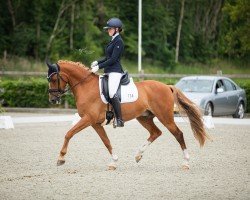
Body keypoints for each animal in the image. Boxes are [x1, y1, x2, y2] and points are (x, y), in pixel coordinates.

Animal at [46, 60, 209, 170]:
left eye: (54, 79)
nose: (52, 100)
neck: (85, 86)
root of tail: (167, 86)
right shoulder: (95, 123)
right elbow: (106, 142)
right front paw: (114, 162)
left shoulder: (88, 119)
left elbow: (69, 133)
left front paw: (61, 158)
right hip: (144, 117)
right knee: (156, 132)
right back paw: (138, 155)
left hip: (165, 117)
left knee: (178, 134)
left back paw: (186, 163)